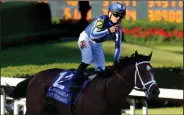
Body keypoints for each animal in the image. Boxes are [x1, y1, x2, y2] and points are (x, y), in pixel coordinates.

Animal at [6, 50, 160, 114]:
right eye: (142, 71)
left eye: (152, 71)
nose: (155, 91)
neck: (108, 92)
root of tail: (35, 76)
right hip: (35, 109)